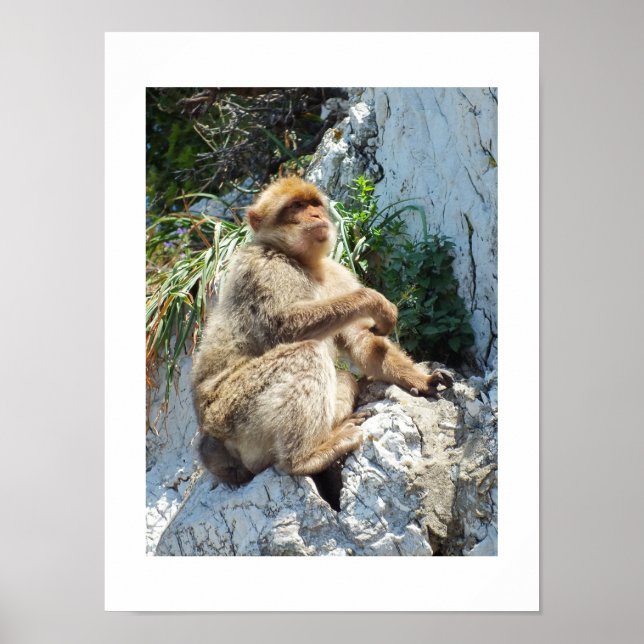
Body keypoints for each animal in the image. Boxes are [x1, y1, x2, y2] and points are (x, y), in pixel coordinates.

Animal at [191, 176, 453, 485]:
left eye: (314, 204)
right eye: (296, 206)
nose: (316, 215)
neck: (301, 262)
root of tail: (212, 445)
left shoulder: (336, 274)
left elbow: (362, 340)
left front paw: (420, 379)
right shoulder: (262, 266)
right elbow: (282, 327)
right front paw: (374, 301)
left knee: (343, 376)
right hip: (230, 412)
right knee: (305, 352)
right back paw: (305, 458)